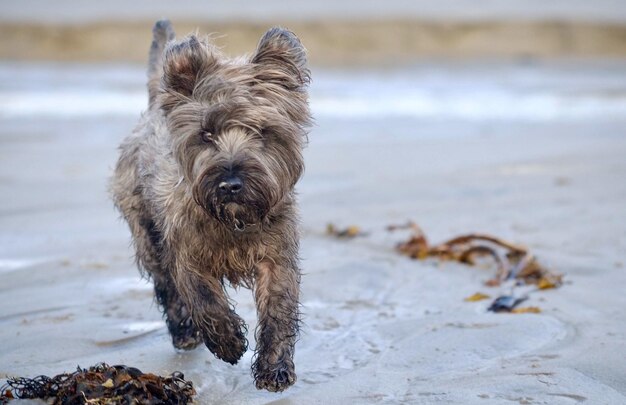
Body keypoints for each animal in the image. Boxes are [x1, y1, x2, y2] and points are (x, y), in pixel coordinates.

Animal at [111, 19, 310, 392]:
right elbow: (203, 298)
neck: (234, 221)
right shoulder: (185, 252)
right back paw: (185, 333)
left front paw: (274, 368)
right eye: (206, 134)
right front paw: (229, 342)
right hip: (147, 235)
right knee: (166, 288)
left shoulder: (276, 257)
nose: (231, 184)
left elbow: (279, 308)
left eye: (262, 132)